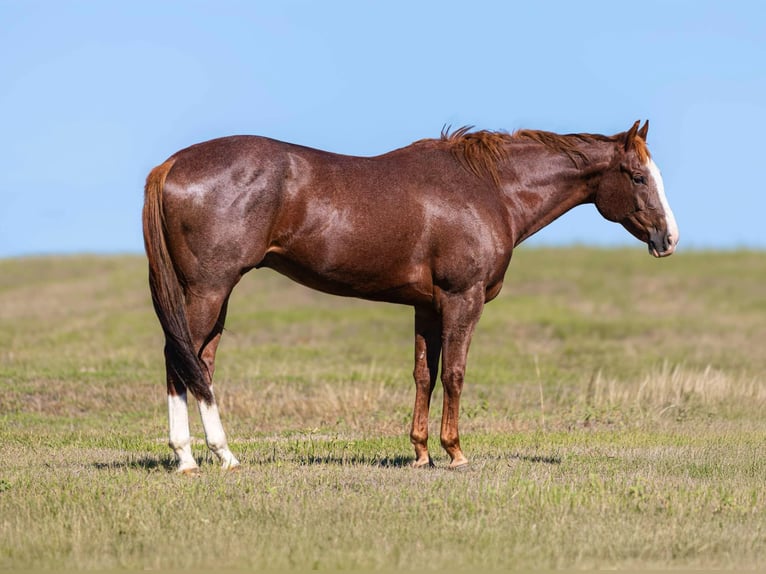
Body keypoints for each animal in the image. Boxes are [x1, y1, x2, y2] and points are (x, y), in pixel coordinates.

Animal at [142, 120, 678, 473]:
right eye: (638, 176)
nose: (668, 238)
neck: (488, 189)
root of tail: (170, 164)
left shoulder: (427, 306)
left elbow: (425, 374)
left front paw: (421, 452)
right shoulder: (463, 299)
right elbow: (456, 374)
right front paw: (455, 452)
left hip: (213, 295)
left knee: (199, 364)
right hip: (208, 290)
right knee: (178, 360)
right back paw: (196, 457)